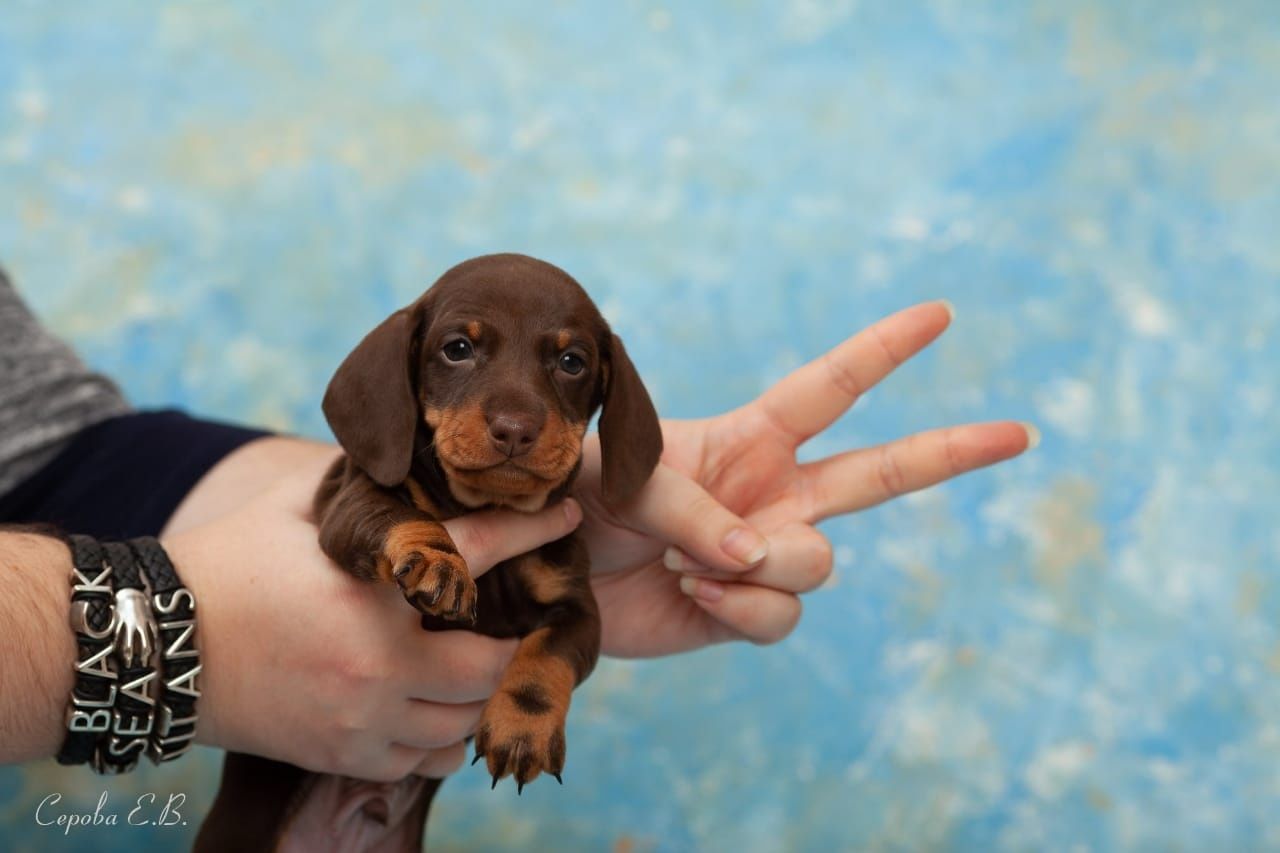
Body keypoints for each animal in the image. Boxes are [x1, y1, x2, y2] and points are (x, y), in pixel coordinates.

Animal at [197, 251, 670, 845]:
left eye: (572, 361)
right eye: (457, 349)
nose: (514, 430)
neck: (484, 506)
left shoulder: (578, 610)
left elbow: (549, 655)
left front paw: (523, 730)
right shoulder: (348, 502)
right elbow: (401, 514)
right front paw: (439, 563)